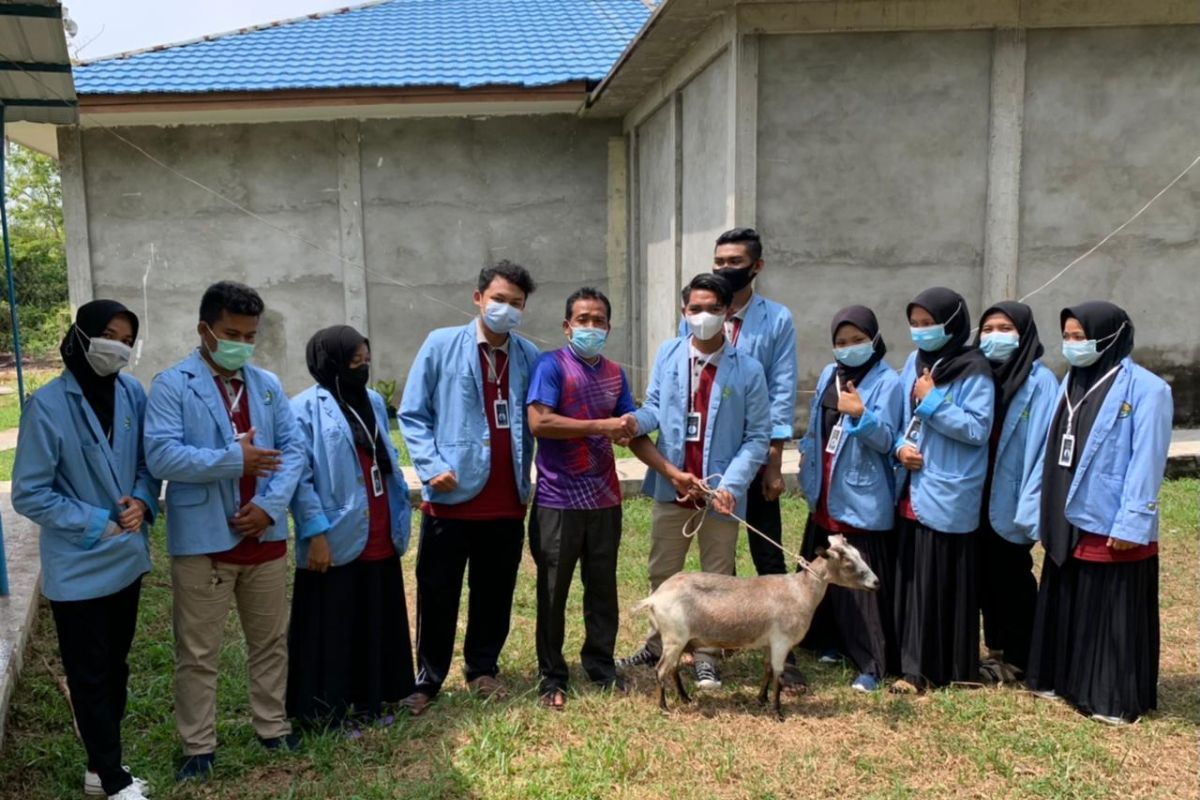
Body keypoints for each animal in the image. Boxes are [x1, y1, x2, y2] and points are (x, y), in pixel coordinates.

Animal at [633, 534, 878, 714]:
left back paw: (685, 698)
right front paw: (778, 711)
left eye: (859, 555)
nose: (876, 583)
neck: (801, 591)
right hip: (674, 637)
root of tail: (655, 597)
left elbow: (768, 670)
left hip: (680, 640)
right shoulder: (781, 642)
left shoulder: (770, 643)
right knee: (661, 669)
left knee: (672, 669)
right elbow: (779, 675)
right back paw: (664, 707)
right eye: (848, 562)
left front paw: (762, 699)